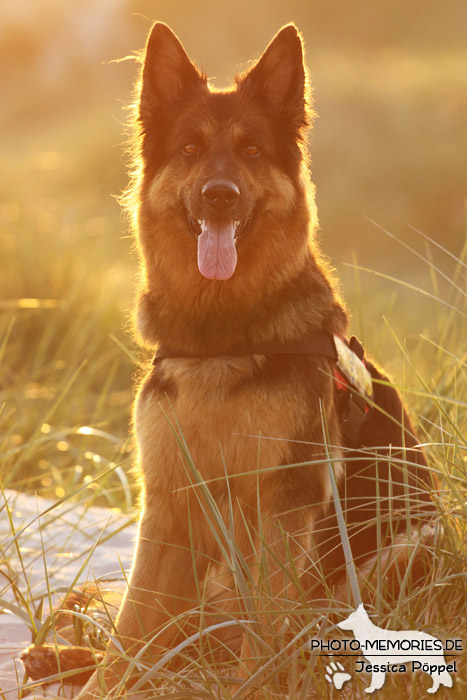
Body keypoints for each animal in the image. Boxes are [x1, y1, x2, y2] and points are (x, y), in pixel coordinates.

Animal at [22, 20, 436, 696]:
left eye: (251, 151)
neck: (220, 341)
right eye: (190, 149)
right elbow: (130, 638)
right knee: (172, 644)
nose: (220, 196)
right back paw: (57, 657)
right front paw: (102, 681)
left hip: (407, 548)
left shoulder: (277, 514)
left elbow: (259, 636)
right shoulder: (165, 512)